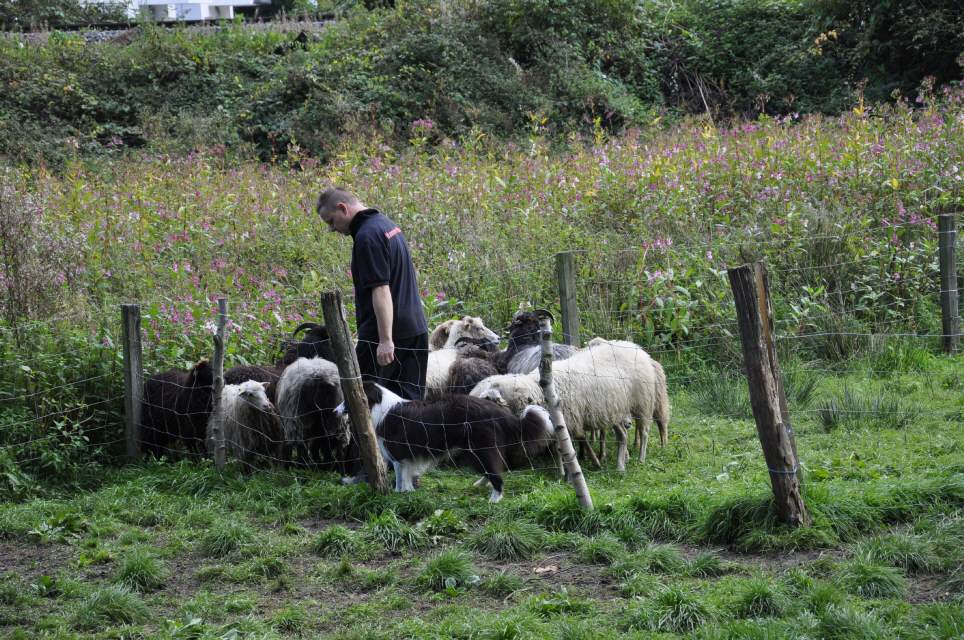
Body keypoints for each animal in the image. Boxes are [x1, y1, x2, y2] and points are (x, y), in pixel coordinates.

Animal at [340, 382, 555, 502]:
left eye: (348, 400)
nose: (335, 410)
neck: (380, 406)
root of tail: (496, 411)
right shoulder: (403, 457)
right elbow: (403, 477)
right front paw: (404, 493)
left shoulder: (399, 455)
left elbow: (401, 477)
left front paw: (401, 494)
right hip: (474, 450)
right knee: (493, 468)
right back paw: (481, 484)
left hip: (481, 448)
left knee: (496, 474)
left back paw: (495, 499)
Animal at [470, 338, 670, 471]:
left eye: (495, 400)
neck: (538, 389)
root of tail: (636, 347)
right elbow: (561, 448)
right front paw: (565, 469)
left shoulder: (568, 420)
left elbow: (568, 446)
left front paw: (573, 468)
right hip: (615, 407)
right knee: (624, 433)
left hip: (642, 401)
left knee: (644, 431)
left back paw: (641, 458)